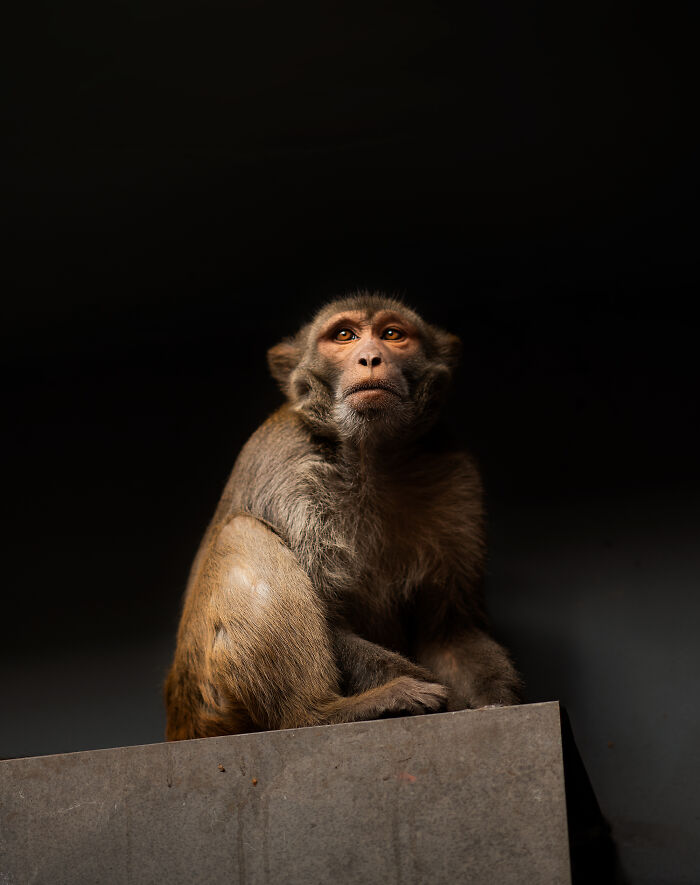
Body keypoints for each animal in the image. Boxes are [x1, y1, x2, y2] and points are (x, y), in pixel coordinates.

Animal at [164, 292, 522, 740]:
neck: (372, 456)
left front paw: (498, 702)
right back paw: (325, 711)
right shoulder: (291, 464)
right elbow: (331, 618)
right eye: (344, 336)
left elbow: (448, 631)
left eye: (392, 334)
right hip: (211, 704)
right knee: (243, 533)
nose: (370, 358)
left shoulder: (456, 475)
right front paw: (437, 696)